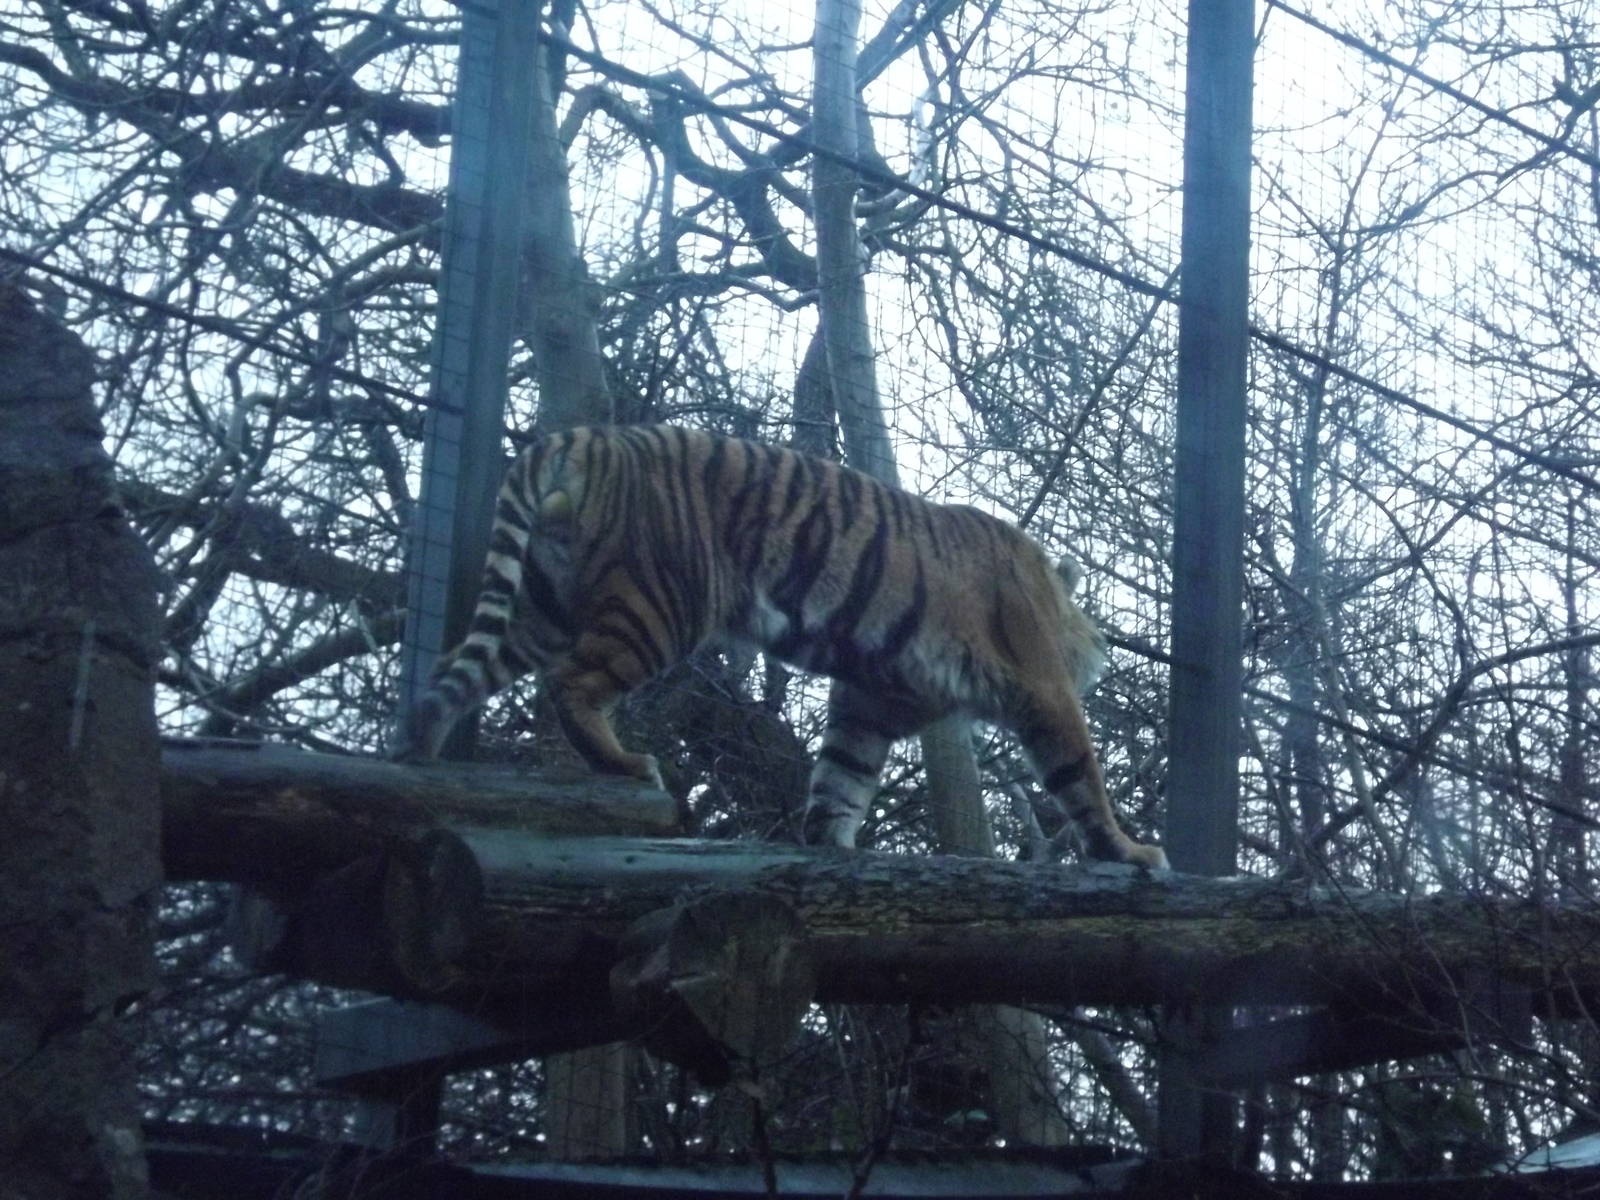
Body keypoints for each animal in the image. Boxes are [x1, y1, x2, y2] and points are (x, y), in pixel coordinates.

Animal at [392, 424, 1167, 869]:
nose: (1098, 654)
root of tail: (582, 439)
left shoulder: (870, 698)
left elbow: (842, 773)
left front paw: (828, 841)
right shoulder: (1042, 688)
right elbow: (1080, 774)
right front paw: (1128, 851)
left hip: (540, 604)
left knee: (455, 669)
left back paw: (421, 752)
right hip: (661, 603)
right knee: (573, 685)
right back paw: (626, 764)